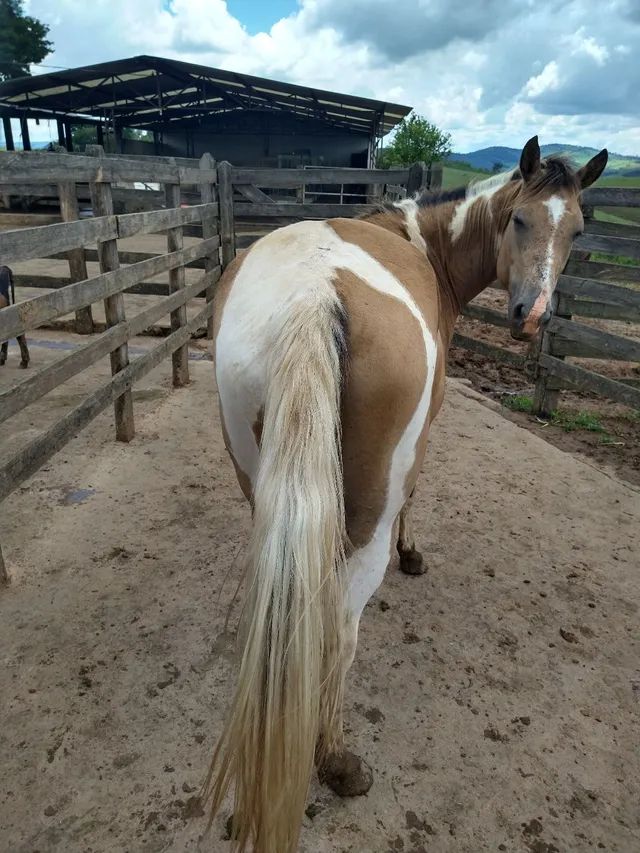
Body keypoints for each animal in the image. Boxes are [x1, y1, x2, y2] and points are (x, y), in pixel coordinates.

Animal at [206, 136, 608, 848]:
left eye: (579, 231)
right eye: (519, 220)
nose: (530, 316)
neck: (421, 243)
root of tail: (315, 295)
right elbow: (418, 492)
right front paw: (412, 552)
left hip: (264, 489)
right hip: (361, 517)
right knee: (339, 623)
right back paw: (337, 760)